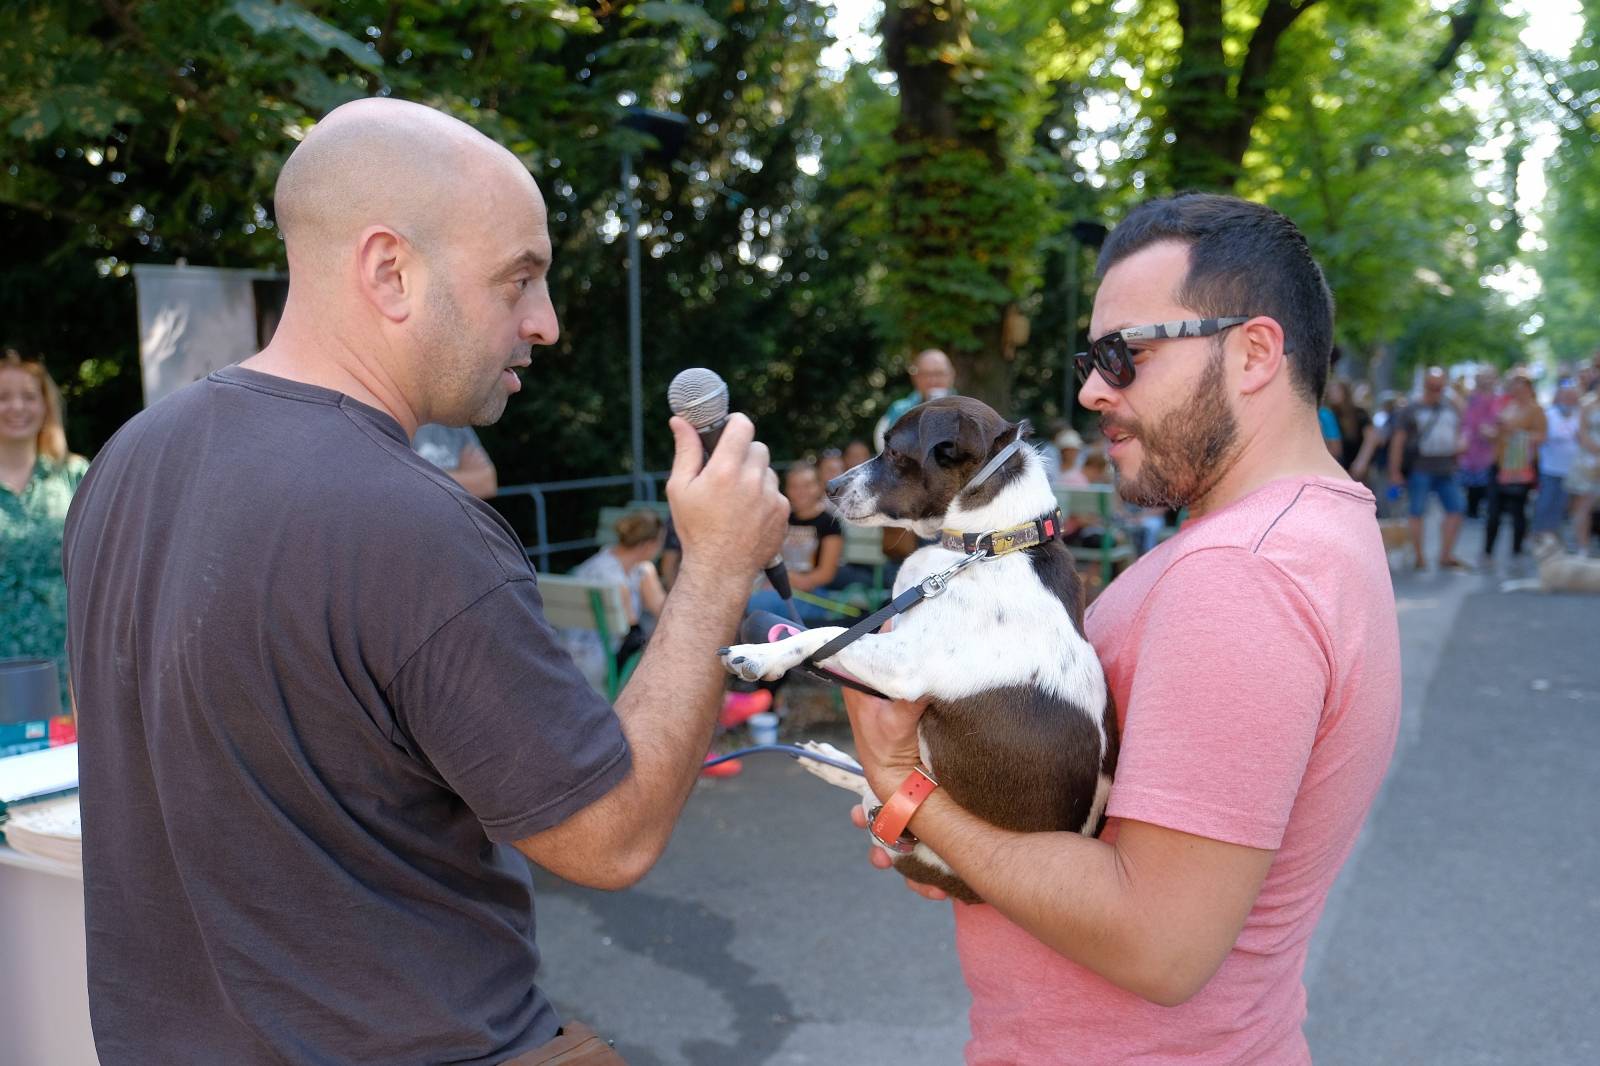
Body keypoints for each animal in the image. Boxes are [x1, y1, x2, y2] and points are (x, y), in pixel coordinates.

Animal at [720, 393, 1120, 902]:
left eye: (893, 452)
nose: (829, 486)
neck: (987, 546)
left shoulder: (905, 666)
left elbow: (824, 633)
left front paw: (759, 653)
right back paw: (828, 759)